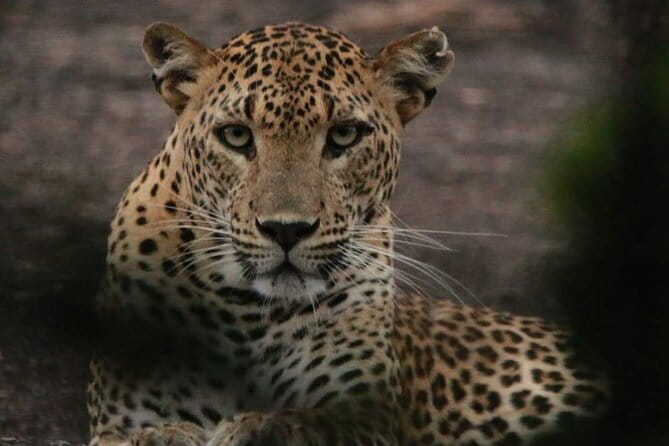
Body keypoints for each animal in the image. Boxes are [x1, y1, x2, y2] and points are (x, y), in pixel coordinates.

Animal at [88, 22, 608, 446]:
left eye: (344, 135)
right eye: (236, 135)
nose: (286, 230)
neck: (247, 315)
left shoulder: (367, 418)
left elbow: (311, 425)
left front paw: (262, 428)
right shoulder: (120, 416)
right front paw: (167, 437)